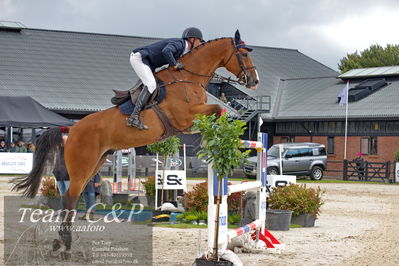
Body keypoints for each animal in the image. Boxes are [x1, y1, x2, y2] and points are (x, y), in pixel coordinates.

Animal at [10, 29, 260, 258]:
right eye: (243, 54)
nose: (254, 81)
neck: (189, 77)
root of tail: (71, 129)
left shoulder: (189, 123)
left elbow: (217, 113)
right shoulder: (186, 118)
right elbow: (218, 109)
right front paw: (214, 137)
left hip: (95, 163)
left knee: (71, 197)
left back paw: (62, 242)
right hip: (82, 166)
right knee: (70, 198)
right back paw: (65, 244)